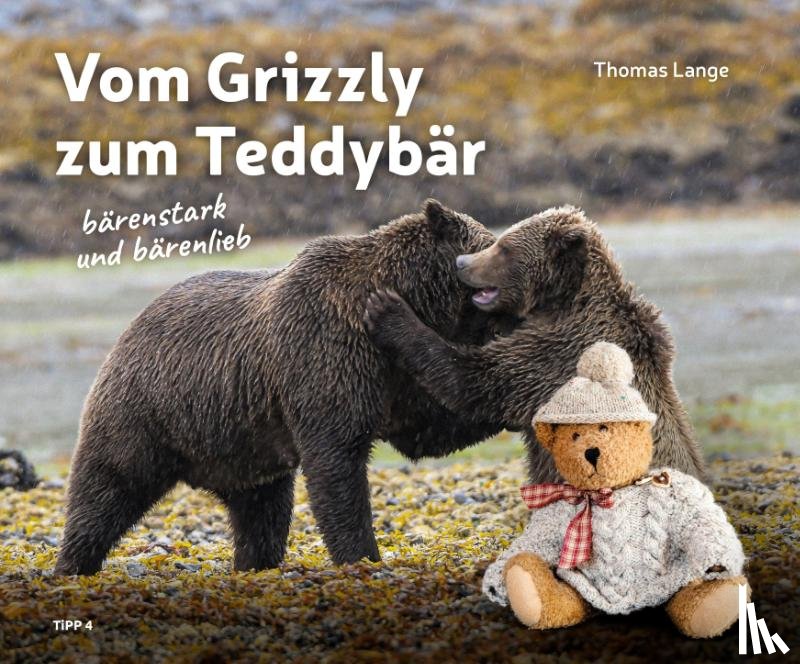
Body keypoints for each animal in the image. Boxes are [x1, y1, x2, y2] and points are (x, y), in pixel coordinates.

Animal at [54, 200, 506, 576]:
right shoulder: (324, 357)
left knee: (261, 512)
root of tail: (128, 329)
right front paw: (362, 555)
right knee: (108, 486)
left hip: (240, 444)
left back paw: (255, 563)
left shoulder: (396, 379)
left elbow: (434, 426)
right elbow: (336, 463)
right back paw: (72, 564)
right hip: (146, 411)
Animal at [363, 205, 707, 483]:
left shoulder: (559, 352)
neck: (561, 303)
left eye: (503, 247)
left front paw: (388, 309)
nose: (462, 261)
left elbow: (474, 381)